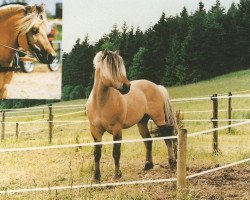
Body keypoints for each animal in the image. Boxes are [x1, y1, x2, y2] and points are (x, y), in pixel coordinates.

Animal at [86, 49, 178, 181]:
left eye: (120, 66)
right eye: (111, 68)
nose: (126, 86)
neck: (100, 104)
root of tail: (156, 86)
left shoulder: (117, 129)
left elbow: (116, 152)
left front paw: (117, 175)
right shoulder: (95, 131)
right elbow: (97, 153)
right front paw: (96, 177)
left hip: (159, 118)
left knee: (167, 138)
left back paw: (172, 163)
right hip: (142, 122)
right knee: (148, 140)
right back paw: (148, 165)